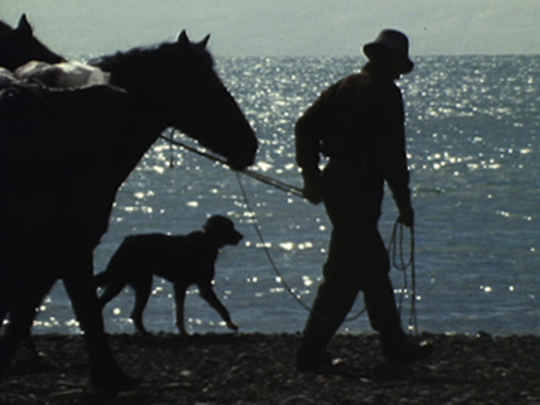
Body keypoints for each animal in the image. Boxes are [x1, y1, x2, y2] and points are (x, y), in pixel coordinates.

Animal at [96, 216, 242, 332]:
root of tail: (126, 241)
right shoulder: (190, 286)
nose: (241, 236)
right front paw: (230, 324)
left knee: (129, 312)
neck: (207, 241)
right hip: (134, 281)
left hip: (126, 280)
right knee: (129, 312)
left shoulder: (189, 286)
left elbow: (181, 312)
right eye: (230, 227)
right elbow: (219, 307)